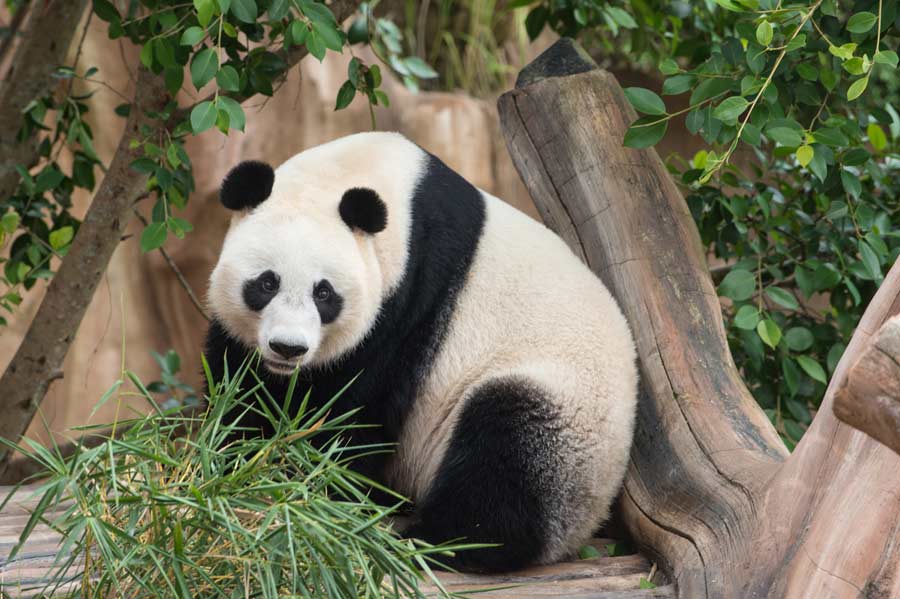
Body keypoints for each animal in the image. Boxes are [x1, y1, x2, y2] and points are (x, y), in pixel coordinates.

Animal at [204, 131, 638, 573]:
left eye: (323, 293)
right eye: (266, 283)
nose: (288, 348)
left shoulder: (410, 302)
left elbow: (353, 411)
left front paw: (311, 488)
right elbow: (241, 384)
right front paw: (237, 465)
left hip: (567, 416)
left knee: (506, 455)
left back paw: (432, 541)